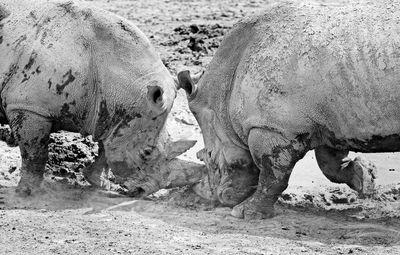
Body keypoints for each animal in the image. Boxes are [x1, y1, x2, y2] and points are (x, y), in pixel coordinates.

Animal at [0, 0, 205, 196]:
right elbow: (35, 152)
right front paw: (31, 193)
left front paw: (100, 184)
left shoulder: (114, 115)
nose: (143, 192)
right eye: (146, 153)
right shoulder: (29, 107)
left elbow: (108, 150)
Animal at [178, 0, 400, 219]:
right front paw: (365, 177)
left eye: (210, 158)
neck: (222, 97)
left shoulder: (273, 127)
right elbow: (330, 164)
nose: (208, 196)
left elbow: (272, 172)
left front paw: (244, 213)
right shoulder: (329, 120)